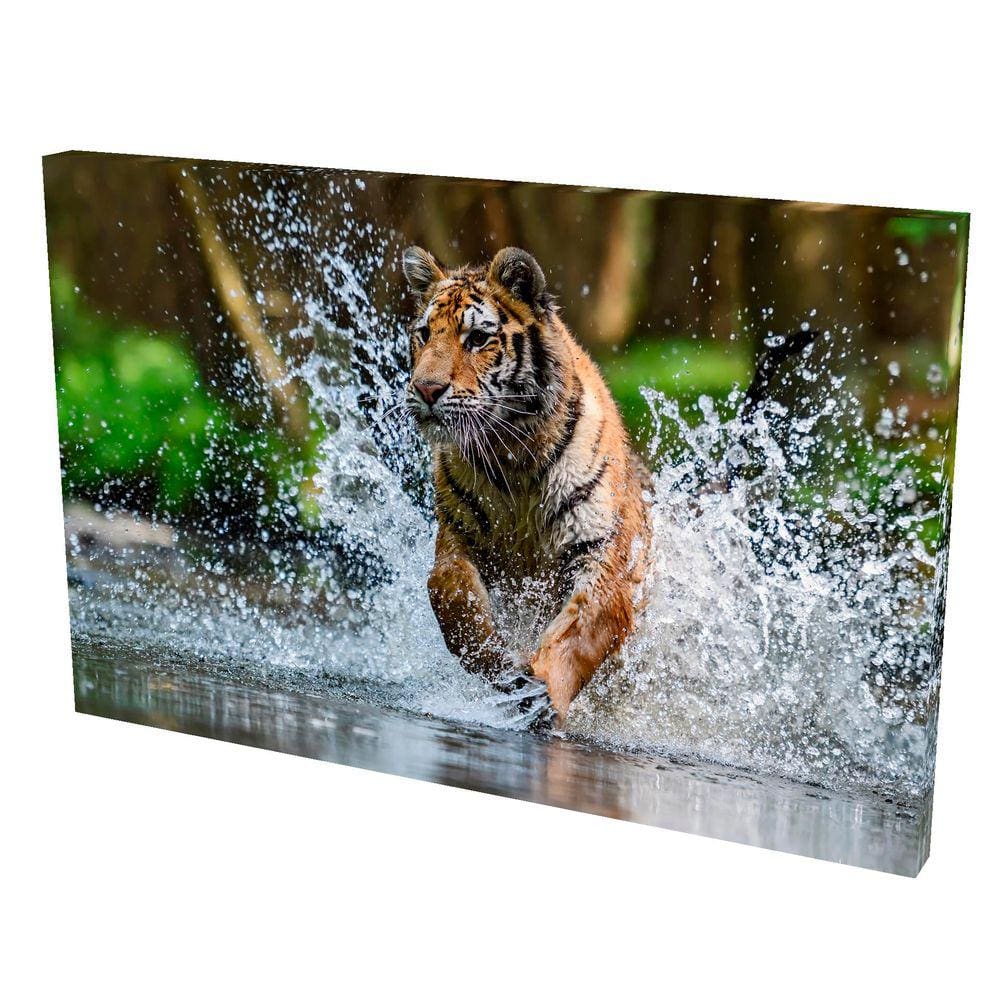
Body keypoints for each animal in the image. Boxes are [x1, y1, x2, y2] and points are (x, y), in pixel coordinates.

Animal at [401, 245, 652, 726]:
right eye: (423, 334)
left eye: (477, 339)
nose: (426, 389)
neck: (512, 454)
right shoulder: (456, 540)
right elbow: (453, 601)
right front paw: (501, 667)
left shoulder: (602, 557)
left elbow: (578, 632)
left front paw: (541, 694)